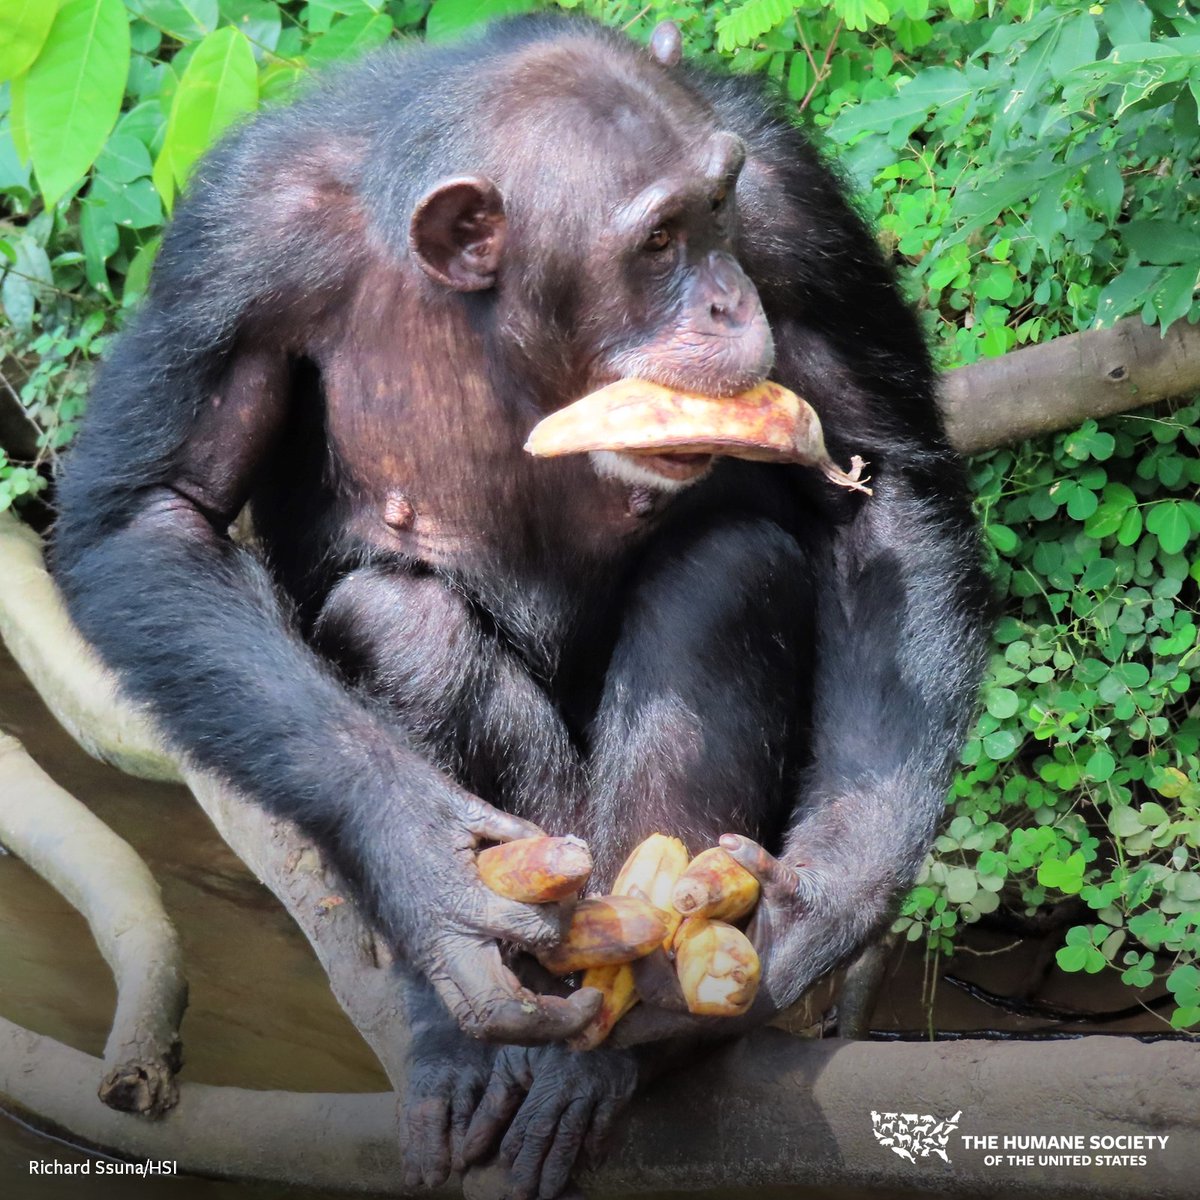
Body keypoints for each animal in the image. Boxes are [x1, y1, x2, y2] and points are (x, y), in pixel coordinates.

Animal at [54, 11, 984, 1200]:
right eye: (659, 241)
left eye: (719, 210)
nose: (730, 297)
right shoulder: (232, 243)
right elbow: (153, 516)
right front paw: (418, 857)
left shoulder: (792, 203)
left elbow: (881, 477)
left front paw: (823, 896)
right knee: (398, 620)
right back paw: (473, 1031)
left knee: (728, 567)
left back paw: (618, 1048)